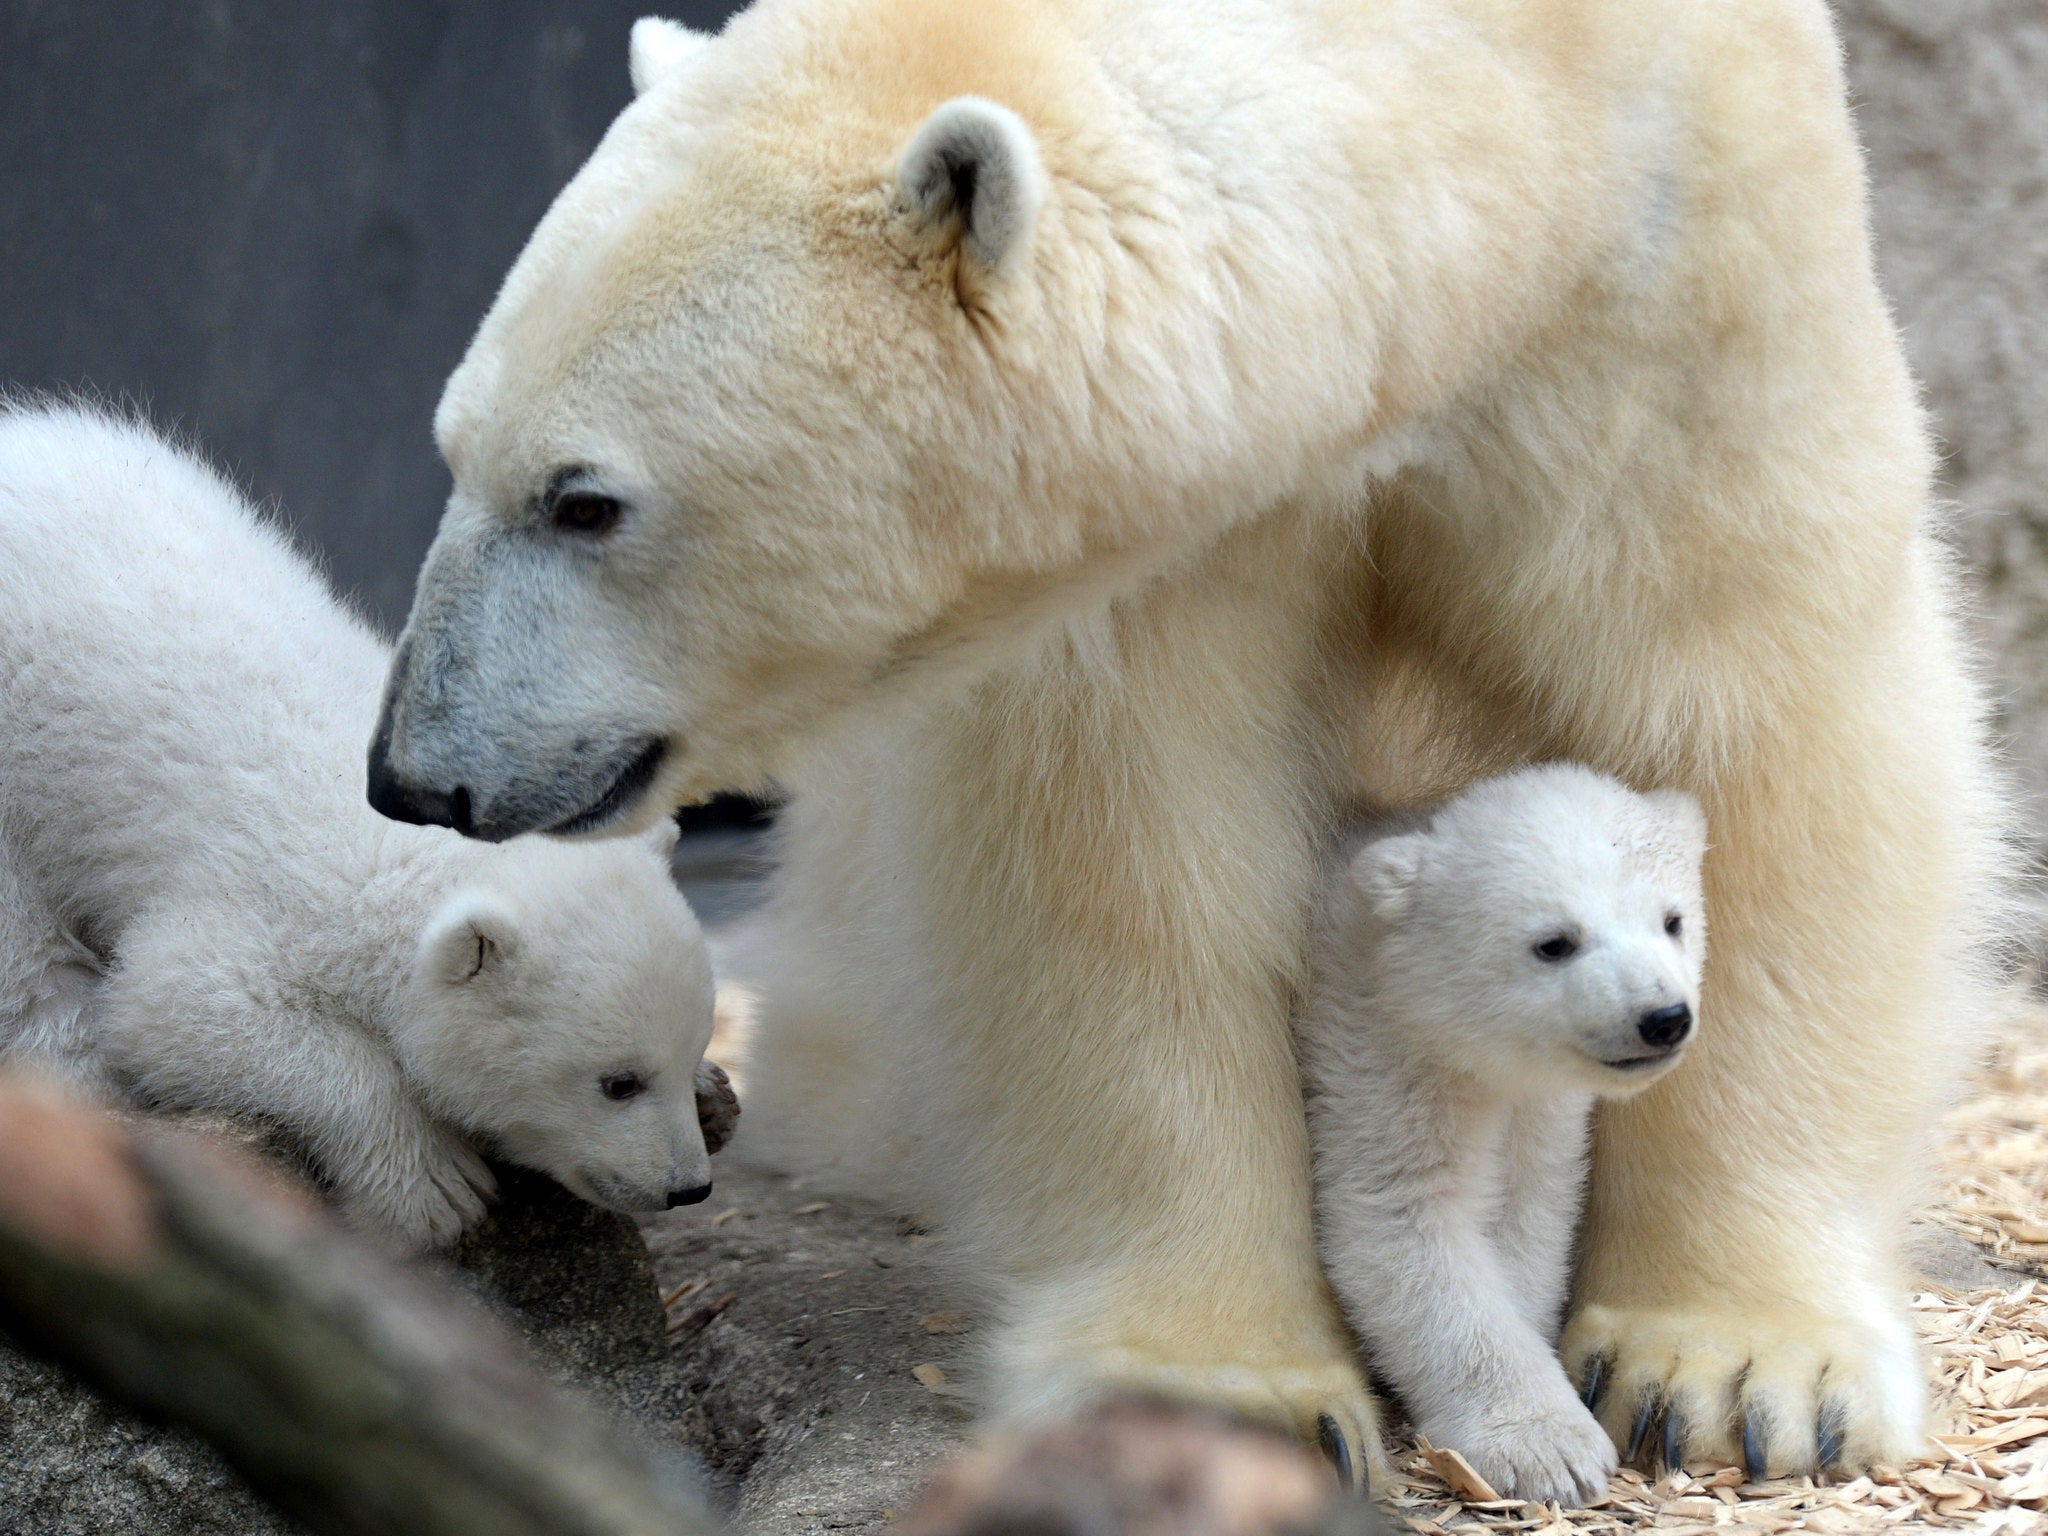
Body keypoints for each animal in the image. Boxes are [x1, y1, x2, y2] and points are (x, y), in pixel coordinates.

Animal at [364, 0, 1998, 1482]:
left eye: (584, 500)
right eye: (454, 450)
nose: (412, 770)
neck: (1526, 81)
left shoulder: (1688, 269)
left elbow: (1753, 712)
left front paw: (1736, 1372)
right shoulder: (1170, 532)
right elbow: (1127, 842)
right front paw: (1231, 1387)